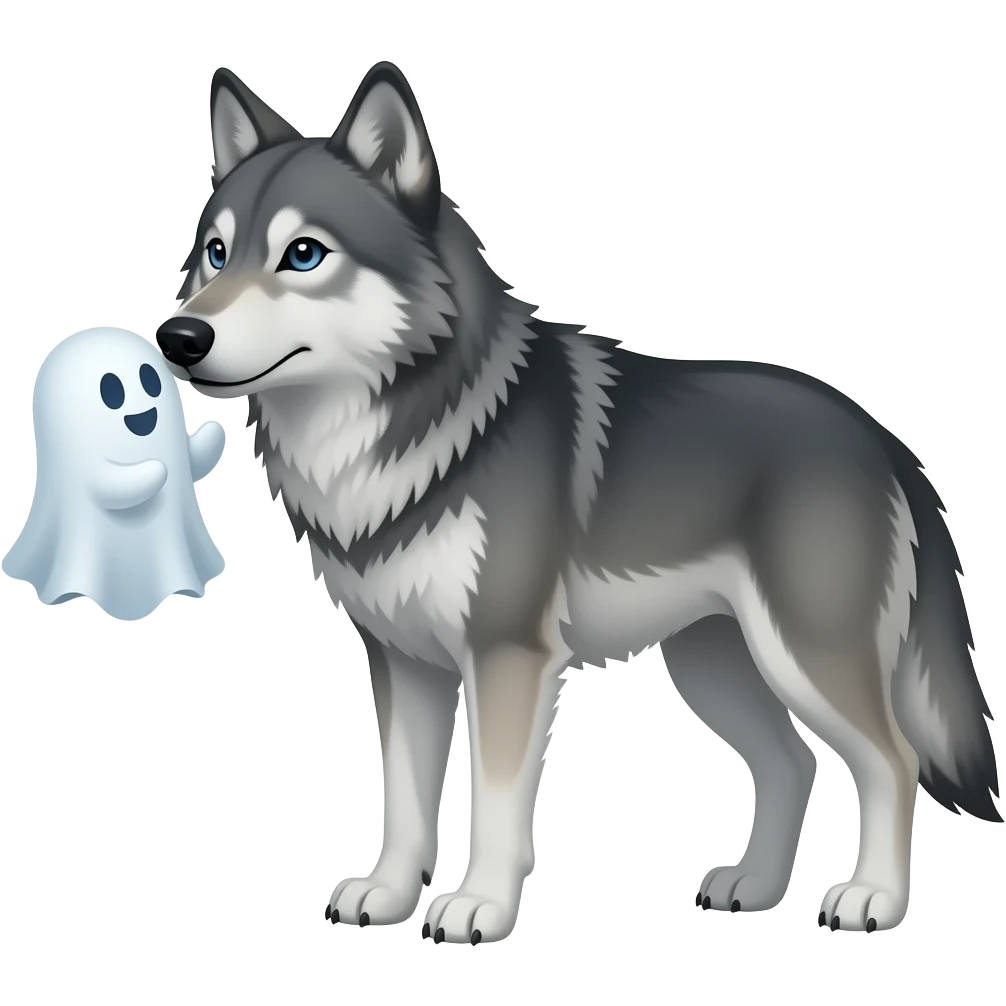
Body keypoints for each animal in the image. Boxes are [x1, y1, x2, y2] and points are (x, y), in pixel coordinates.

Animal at [157, 61, 999, 942]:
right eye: (215, 252)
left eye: (303, 254)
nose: (178, 338)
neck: (392, 436)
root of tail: (885, 440)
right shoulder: (403, 662)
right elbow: (406, 799)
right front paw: (387, 896)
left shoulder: (506, 656)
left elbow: (492, 802)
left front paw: (479, 907)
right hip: (714, 666)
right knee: (794, 761)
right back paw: (755, 887)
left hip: (805, 658)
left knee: (893, 759)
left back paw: (874, 899)